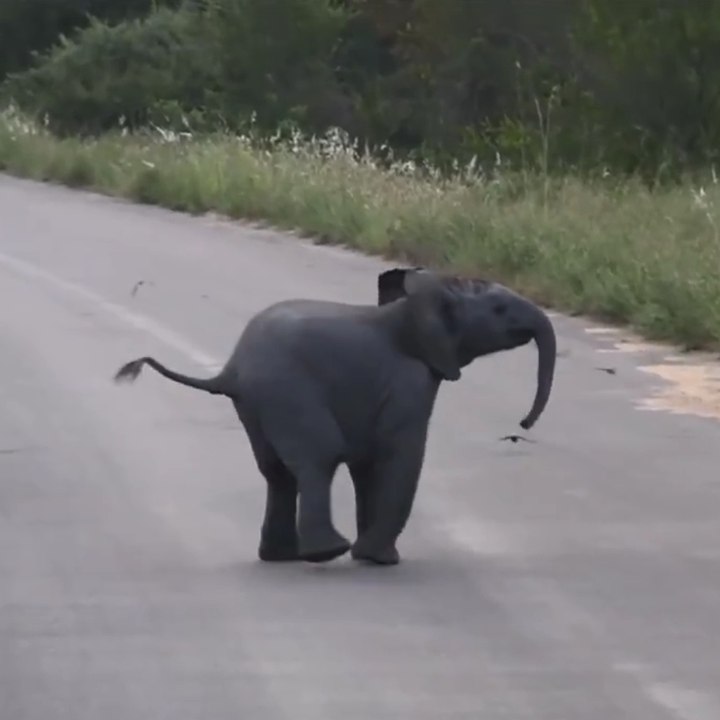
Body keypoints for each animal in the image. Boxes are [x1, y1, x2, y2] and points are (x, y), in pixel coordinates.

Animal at [113, 266, 557, 566]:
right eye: (499, 309)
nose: (523, 424)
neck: (411, 306)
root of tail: (231, 369)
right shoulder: (408, 384)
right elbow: (399, 457)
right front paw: (379, 560)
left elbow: (367, 466)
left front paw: (369, 555)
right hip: (288, 394)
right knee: (318, 458)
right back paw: (328, 552)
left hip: (257, 408)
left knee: (277, 473)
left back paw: (281, 557)